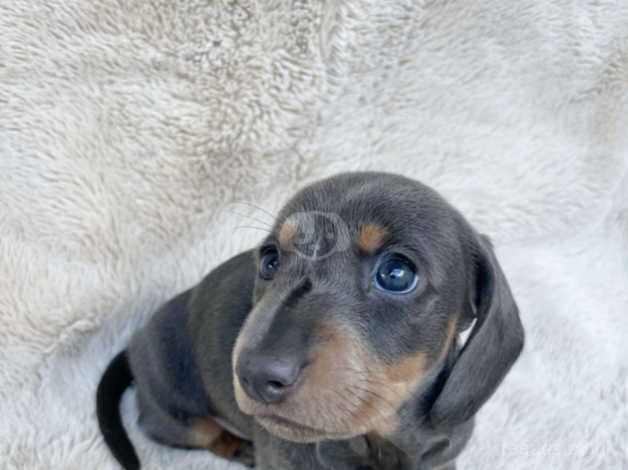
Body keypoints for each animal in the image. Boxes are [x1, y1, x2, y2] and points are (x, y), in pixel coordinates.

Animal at [95, 171, 524, 468]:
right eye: (270, 260)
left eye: (397, 274)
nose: (253, 376)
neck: (380, 435)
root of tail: (132, 346)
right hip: (175, 409)